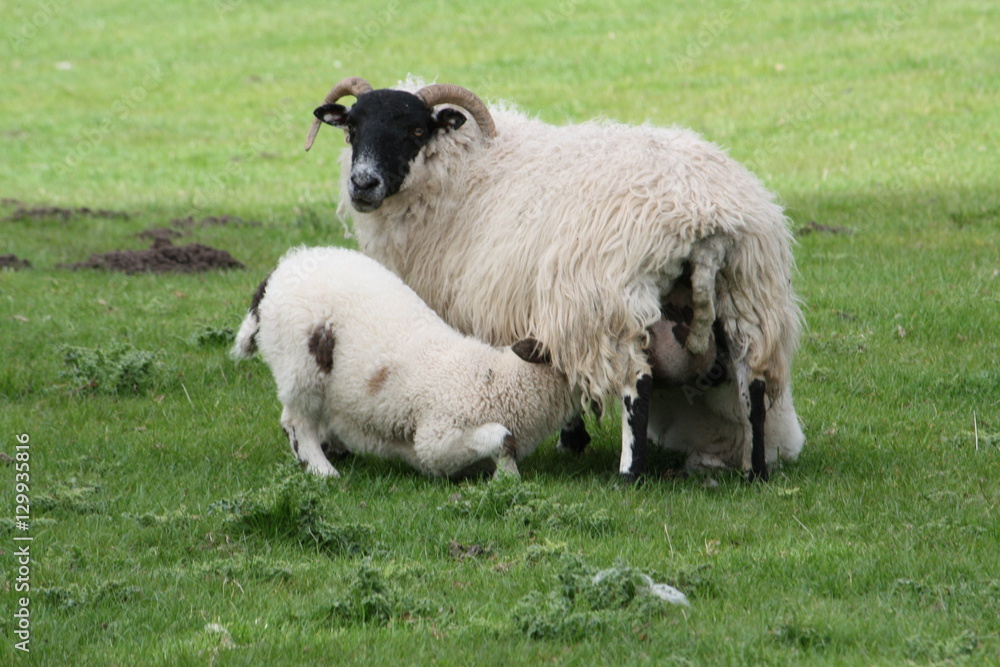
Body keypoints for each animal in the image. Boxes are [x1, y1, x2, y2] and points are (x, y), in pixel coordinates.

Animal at [231, 246, 578, 478]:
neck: (498, 383)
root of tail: (280, 272)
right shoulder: (436, 441)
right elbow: (502, 438)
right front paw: (509, 475)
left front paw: (507, 477)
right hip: (300, 363)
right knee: (296, 421)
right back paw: (323, 471)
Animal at [304, 76, 804, 481]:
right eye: (352, 128)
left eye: (414, 131)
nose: (363, 184)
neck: (463, 171)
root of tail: (706, 220)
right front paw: (572, 440)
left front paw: (569, 440)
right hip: (750, 292)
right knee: (753, 380)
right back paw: (754, 471)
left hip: (612, 304)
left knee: (636, 385)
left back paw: (629, 474)